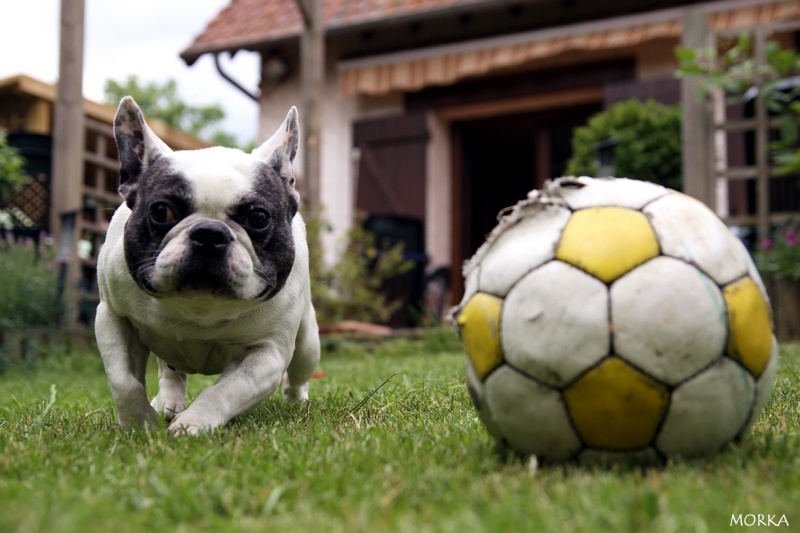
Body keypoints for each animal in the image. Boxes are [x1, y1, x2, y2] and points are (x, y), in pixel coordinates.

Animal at [98, 96, 324, 436]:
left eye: (259, 217)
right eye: (161, 211)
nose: (209, 234)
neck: (199, 311)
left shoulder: (266, 355)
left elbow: (226, 390)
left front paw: (194, 422)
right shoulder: (112, 319)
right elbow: (123, 381)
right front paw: (139, 423)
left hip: (308, 343)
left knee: (298, 374)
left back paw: (297, 402)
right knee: (170, 372)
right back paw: (168, 403)